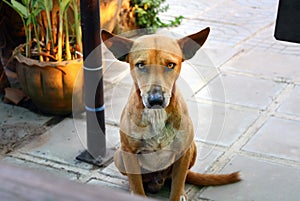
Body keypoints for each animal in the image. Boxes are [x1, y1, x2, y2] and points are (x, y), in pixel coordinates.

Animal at [102, 27, 240, 201]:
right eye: (140, 65)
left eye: (170, 65)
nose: (156, 99)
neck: (156, 115)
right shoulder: (129, 152)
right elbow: (137, 186)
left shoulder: (183, 152)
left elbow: (177, 184)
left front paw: (178, 193)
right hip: (119, 156)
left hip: (192, 149)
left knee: (181, 178)